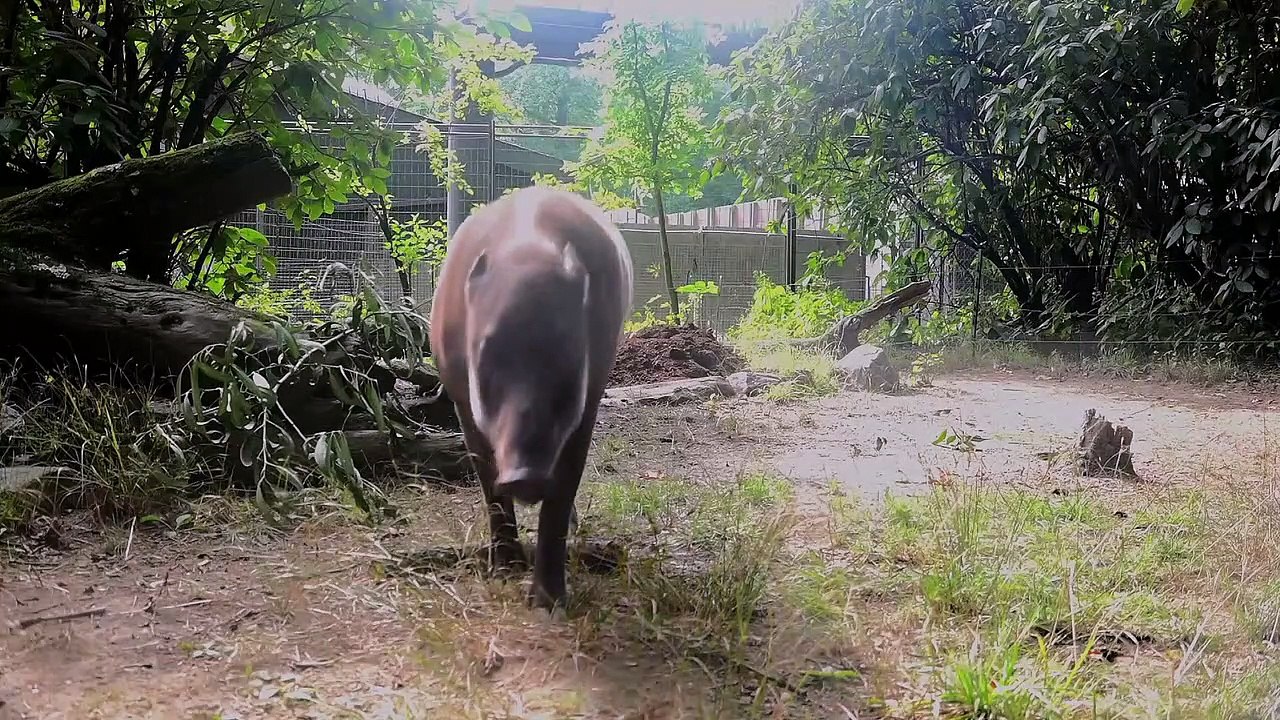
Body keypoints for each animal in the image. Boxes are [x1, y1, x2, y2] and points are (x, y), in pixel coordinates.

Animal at [428, 185, 634, 612]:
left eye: (568, 361)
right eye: (487, 358)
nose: (525, 475)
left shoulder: (587, 400)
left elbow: (563, 490)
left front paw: (548, 604)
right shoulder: (462, 403)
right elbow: (488, 484)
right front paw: (505, 572)